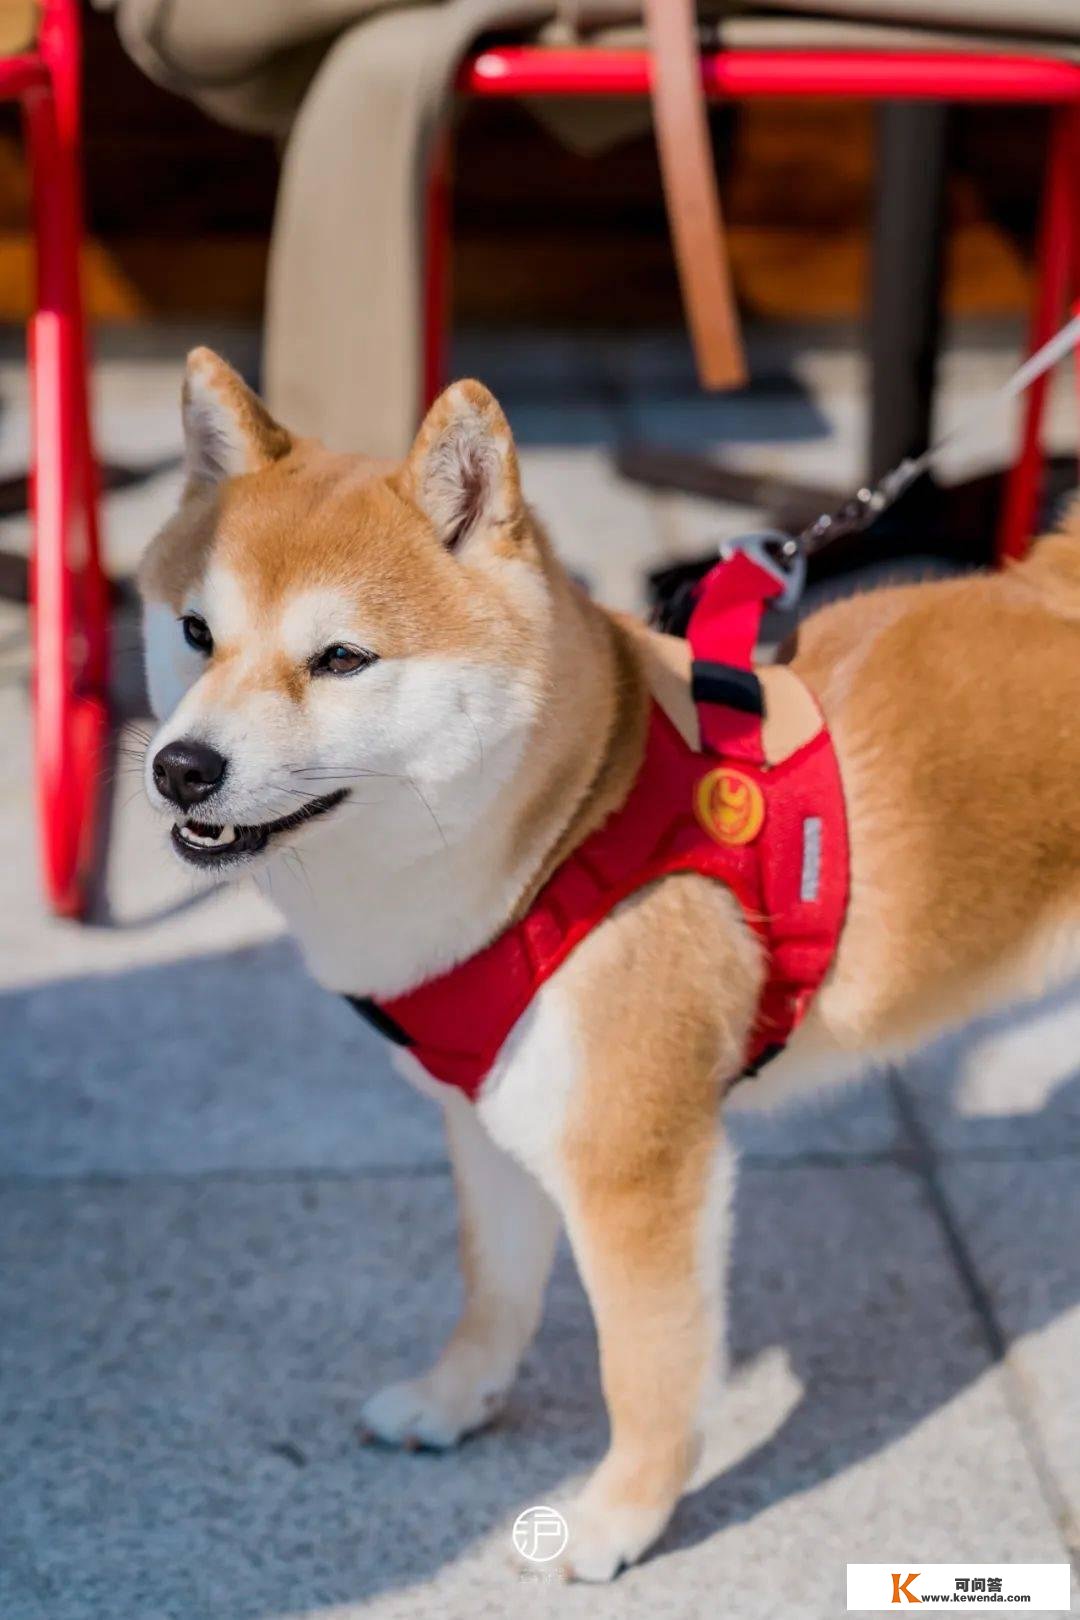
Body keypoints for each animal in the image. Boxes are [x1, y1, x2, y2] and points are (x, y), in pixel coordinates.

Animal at [143, 348, 1080, 1574]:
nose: (181, 768)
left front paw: (619, 1516)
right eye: (196, 633)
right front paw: (455, 1401)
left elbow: (644, 1368)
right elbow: (494, 1293)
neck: (564, 833)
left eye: (342, 658)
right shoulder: (488, 1112)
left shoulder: (636, 1163)